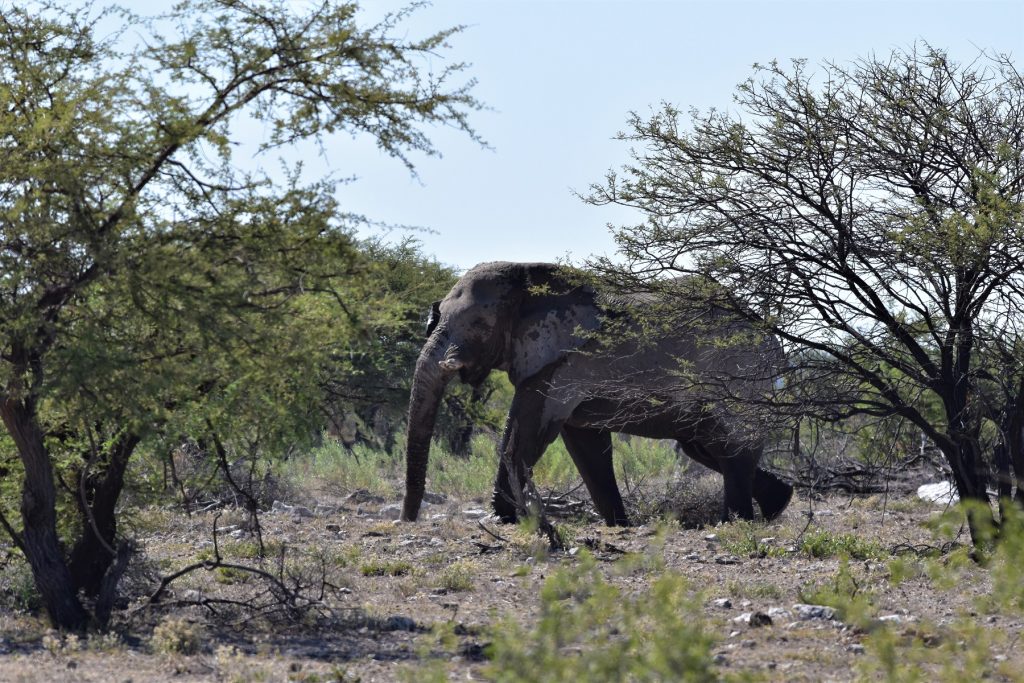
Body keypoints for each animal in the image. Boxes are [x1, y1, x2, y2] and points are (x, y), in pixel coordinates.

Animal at [399, 260, 790, 524]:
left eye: (478, 324)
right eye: (438, 315)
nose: (407, 520)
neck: (524, 277)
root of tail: (772, 337)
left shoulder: (561, 364)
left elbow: (527, 434)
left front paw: (505, 519)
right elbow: (585, 446)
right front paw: (619, 524)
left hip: (740, 374)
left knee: (731, 447)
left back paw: (736, 521)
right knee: (705, 447)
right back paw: (777, 504)